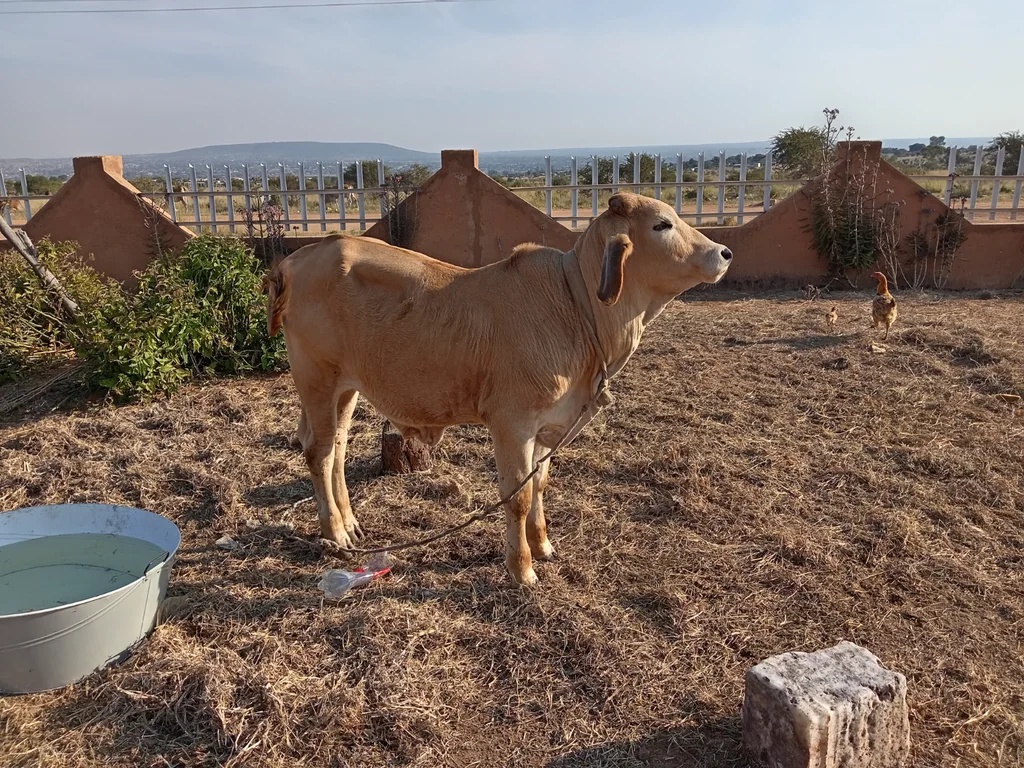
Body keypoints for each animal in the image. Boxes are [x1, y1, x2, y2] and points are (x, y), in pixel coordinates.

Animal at [265, 192, 733, 586]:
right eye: (661, 225)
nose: (724, 253)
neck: (575, 304)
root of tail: (298, 258)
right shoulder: (513, 424)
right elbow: (518, 496)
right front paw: (521, 569)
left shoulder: (547, 428)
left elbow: (539, 484)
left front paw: (542, 545)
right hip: (317, 379)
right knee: (320, 453)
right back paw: (335, 533)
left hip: (347, 388)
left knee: (338, 449)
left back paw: (350, 523)